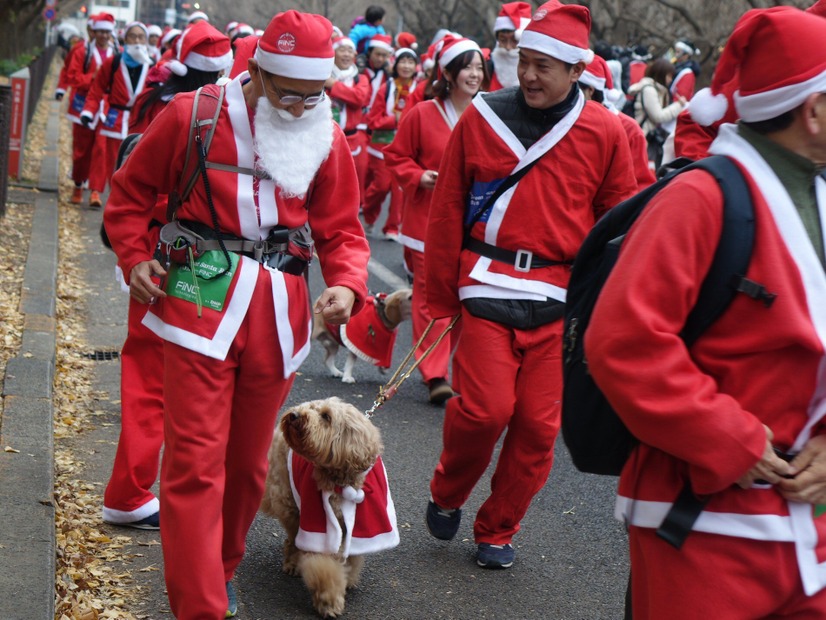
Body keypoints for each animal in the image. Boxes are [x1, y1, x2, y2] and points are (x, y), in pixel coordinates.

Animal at [260, 400, 398, 616]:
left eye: (326, 416)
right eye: (309, 407)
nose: (294, 415)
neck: (341, 482)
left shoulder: (356, 528)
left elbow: (351, 558)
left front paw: (347, 579)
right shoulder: (319, 525)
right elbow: (325, 568)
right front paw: (329, 601)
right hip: (288, 503)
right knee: (293, 539)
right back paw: (292, 563)